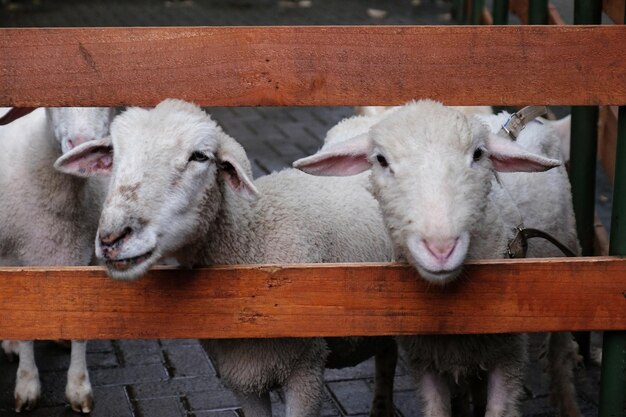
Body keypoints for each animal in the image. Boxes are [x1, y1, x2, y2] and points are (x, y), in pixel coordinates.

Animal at [292, 101, 580, 416]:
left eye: (478, 154)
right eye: (380, 159)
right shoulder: (426, 360)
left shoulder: (509, 357)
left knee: (561, 355)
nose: (440, 248)